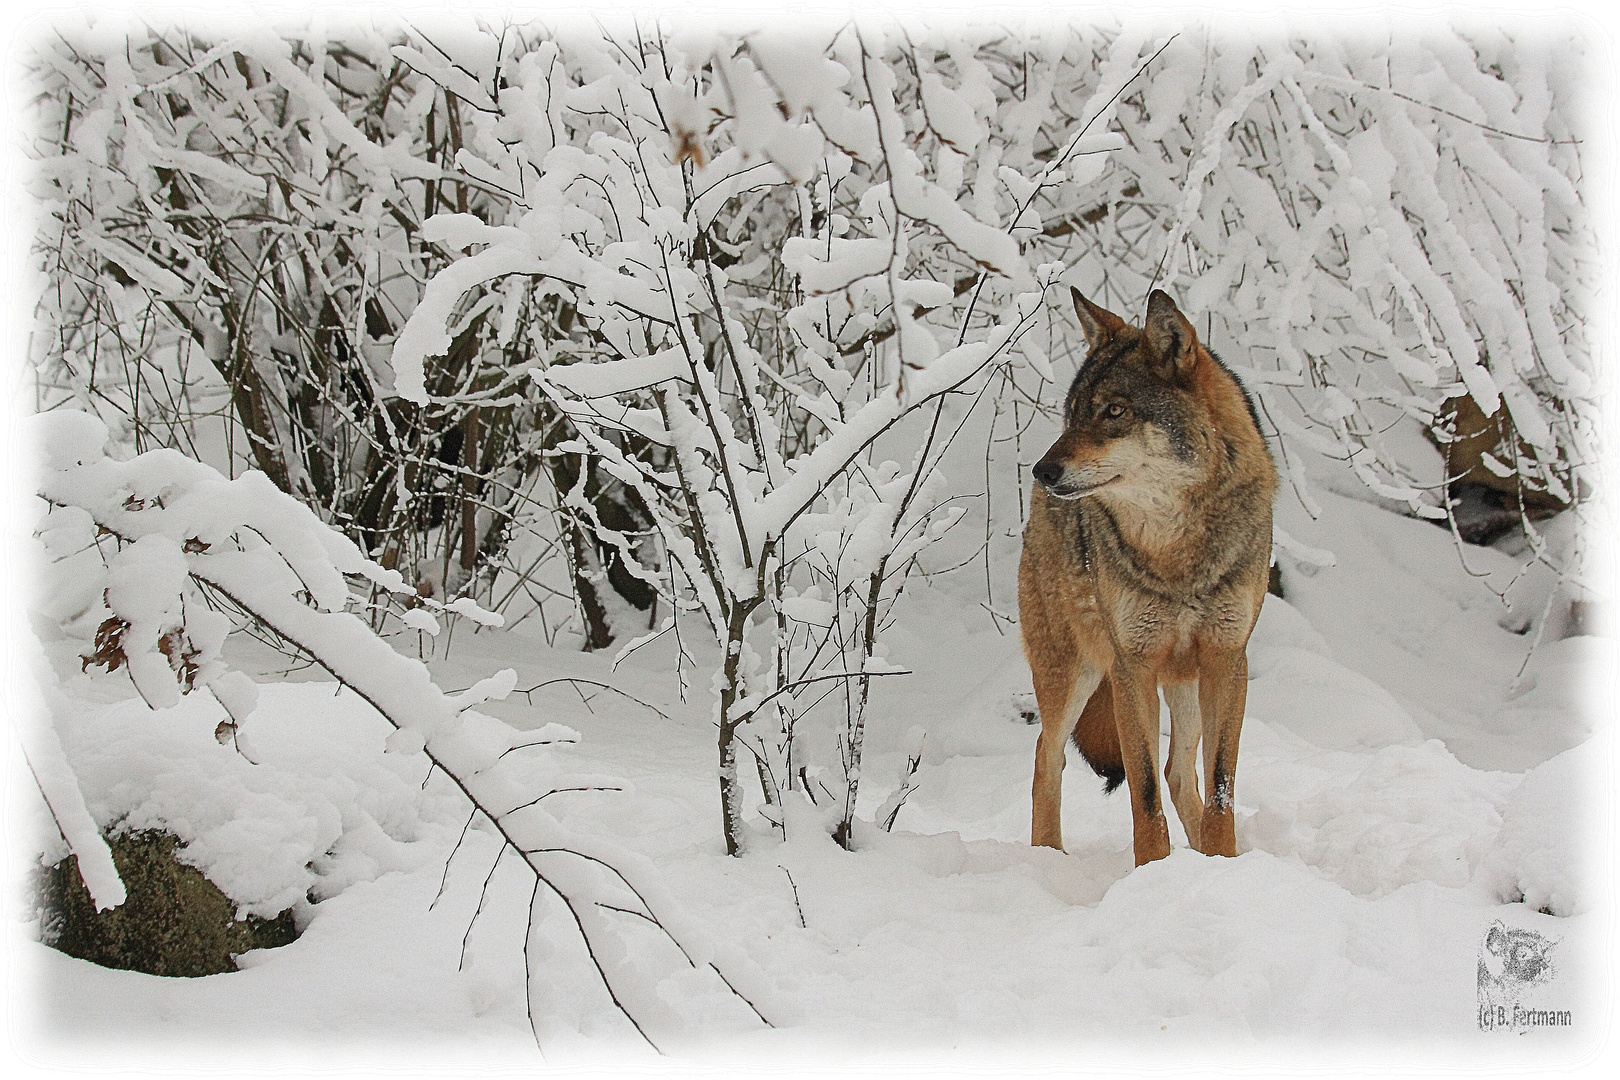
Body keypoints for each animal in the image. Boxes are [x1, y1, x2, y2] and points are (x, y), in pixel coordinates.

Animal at [1023, 289, 1276, 867]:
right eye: (1072, 414)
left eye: (1114, 411)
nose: (1043, 472)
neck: (1174, 553)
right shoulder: (1131, 667)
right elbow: (1143, 795)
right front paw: (1153, 873)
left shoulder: (1228, 658)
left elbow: (1220, 789)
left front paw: (1221, 866)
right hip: (1074, 673)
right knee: (1048, 758)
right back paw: (1047, 859)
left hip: (1184, 679)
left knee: (1179, 773)